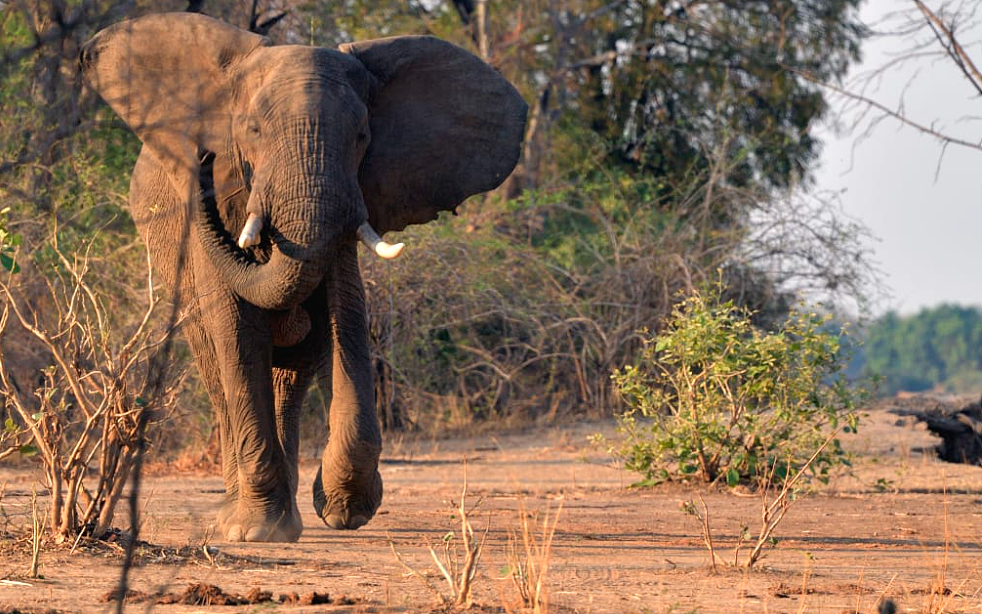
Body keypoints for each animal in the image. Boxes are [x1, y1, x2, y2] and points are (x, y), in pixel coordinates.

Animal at [80, 12, 527, 542]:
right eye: (251, 130)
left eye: (362, 135)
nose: (203, 160)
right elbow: (237, 329)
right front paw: (253, 532)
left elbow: (346, 316)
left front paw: (344, 510)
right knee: (217, 368)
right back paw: (239, 513)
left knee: (292, 378)